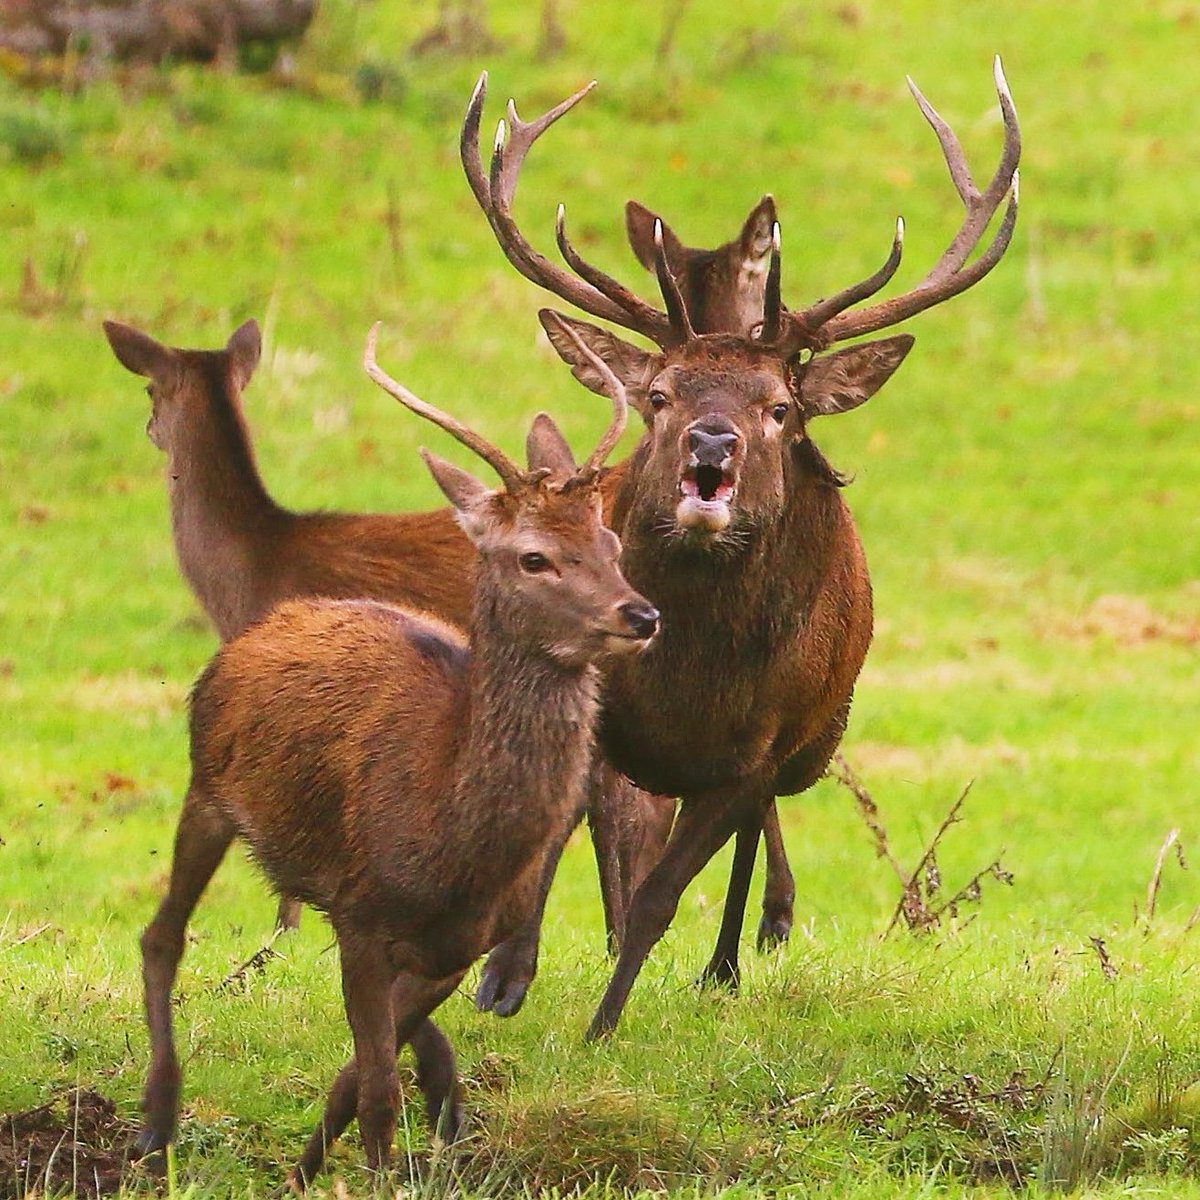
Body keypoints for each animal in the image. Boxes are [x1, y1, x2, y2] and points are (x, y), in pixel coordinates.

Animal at [132, 318, 659, 1187]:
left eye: (611, 541)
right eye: (534, 556)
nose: (640, 614)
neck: (451, 840)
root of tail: (262, 624)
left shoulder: (453, 947)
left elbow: (359, 1074)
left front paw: (313, 1168)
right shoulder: (362, 915)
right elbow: (377, 1090)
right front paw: (368, 1170)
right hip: (206, 786)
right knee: (160, 937)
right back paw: (155, 1125)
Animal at [461, 58, 1020, 1037]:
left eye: (780, 407)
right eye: (659, 394)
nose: (712, 443)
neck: (686, 676)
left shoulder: (754, 751)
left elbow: (659, 894)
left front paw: (602, 1028)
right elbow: (554, 831)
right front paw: (503, 979)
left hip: (812, 745)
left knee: (756, 838)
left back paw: (728, 962)